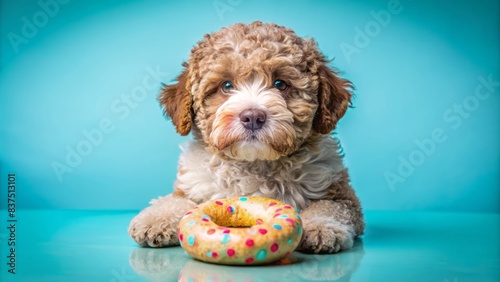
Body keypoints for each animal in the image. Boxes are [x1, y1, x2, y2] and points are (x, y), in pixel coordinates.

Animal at [129, 20, 364, 253]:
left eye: (280, 84)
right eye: (226, 86)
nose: (252, 117)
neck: (254, 163)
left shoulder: (339, 191)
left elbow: (329, 207)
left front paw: (322, 227)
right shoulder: (192, 185)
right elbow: (178, 200)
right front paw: (156, 219)